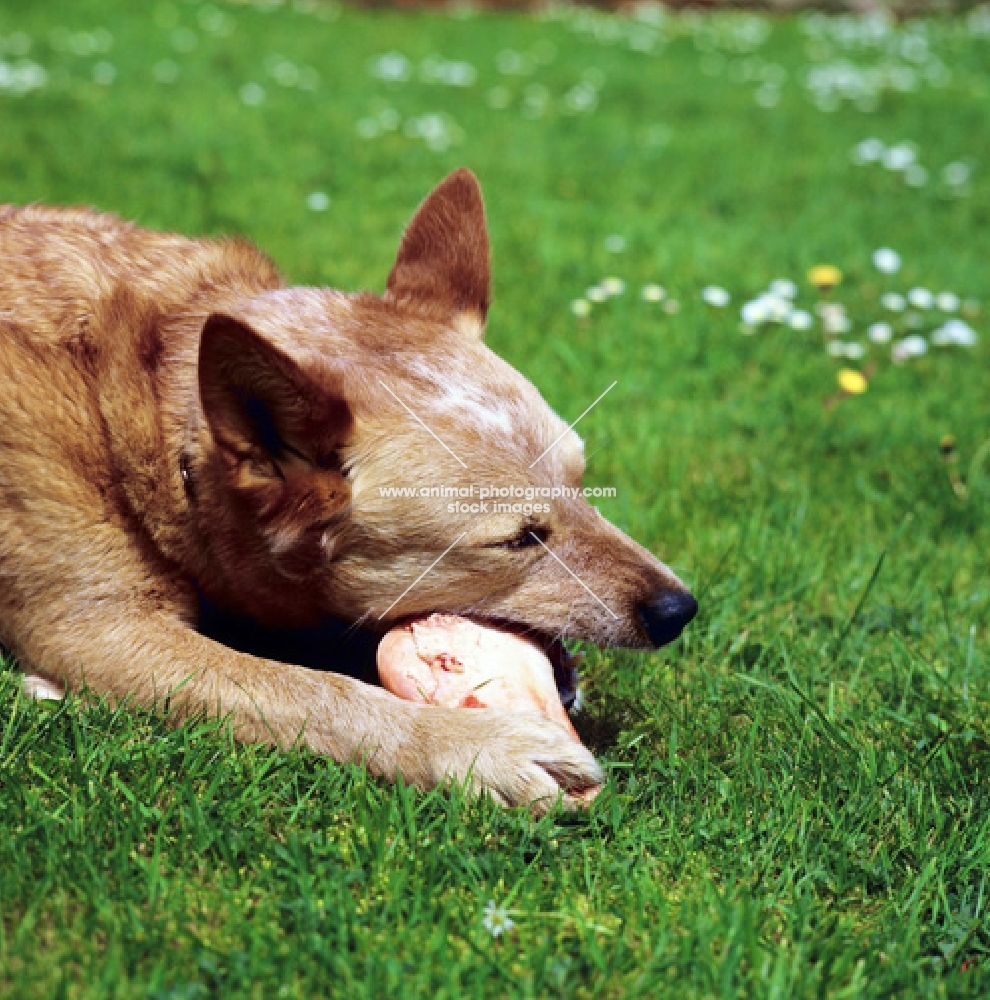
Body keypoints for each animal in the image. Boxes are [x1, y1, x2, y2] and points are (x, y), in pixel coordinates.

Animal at [0, 170, 696, 812]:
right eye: (518, 539)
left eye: (581, 485)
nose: (679, 610)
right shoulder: (93, 628)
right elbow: (310, 691)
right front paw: (475, 747)